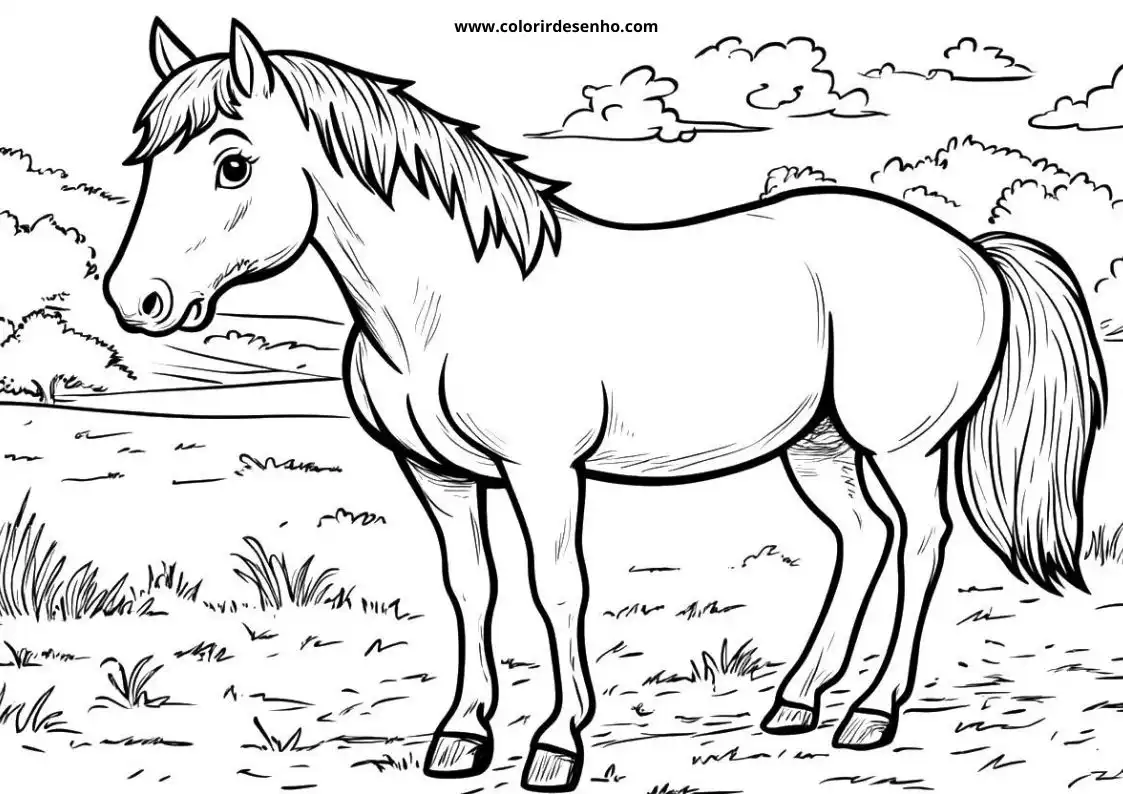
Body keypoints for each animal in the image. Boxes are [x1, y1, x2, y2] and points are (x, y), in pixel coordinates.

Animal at [105, 19, 1106, 793]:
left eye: (234, 164)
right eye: (147, 159)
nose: (135, 300)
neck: (450, 303)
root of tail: (969, 249)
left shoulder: (543, 473)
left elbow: (557, 589)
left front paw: (555, 745)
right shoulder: (438, 478)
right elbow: (471, 589)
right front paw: (462, 734)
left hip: (899, 446)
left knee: (922, 541)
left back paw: (870, 713)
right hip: (815, 446)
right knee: (861, 540)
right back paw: (795, 704)